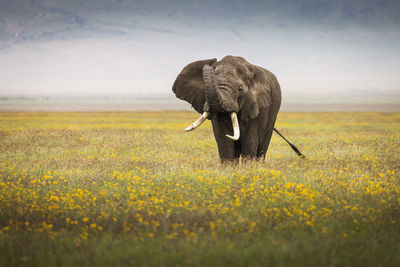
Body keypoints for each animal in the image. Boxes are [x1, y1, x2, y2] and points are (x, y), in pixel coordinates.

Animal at [172, 55, 304, 162]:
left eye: (240, 89)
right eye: (204, 88)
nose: (211, 61)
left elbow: (250, 141)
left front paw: (248, 169)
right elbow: (223, 140)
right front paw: (229, 170)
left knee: (263, 145)